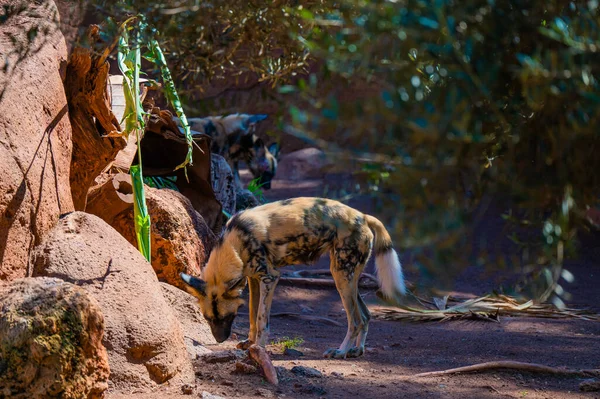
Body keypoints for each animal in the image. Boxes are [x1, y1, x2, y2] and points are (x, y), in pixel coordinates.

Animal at [178, 197, 404, 360]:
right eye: (208, 318)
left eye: (227, 317)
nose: (219, 339)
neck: (235, 242)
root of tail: (363, 216)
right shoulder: (253, 279)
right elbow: (252, 315)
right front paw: (250, 343)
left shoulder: (270, 278)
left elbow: (261, 319)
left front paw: (258, 348)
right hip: (347, 277)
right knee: (365, 315)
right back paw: (356, 351)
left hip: (341, 276)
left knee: (355, 321)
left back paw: (340, 352)